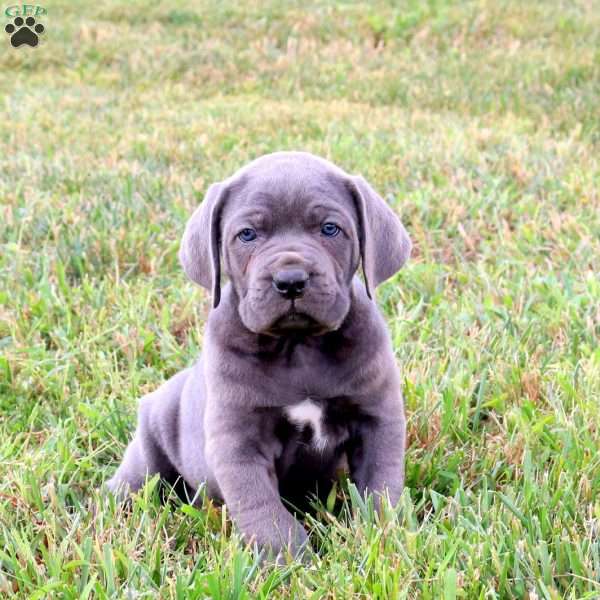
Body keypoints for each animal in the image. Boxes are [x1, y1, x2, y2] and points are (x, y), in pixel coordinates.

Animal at [108, 150, 410, 556]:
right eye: (247, 234)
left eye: (330, 229)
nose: (291, 280)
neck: (298, 348)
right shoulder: (238, 440)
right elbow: (261, 506)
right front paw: (287, 557)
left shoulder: (377, 418)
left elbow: (381, 484)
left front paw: (383, 536)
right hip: (147, 453)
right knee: (132, 484)